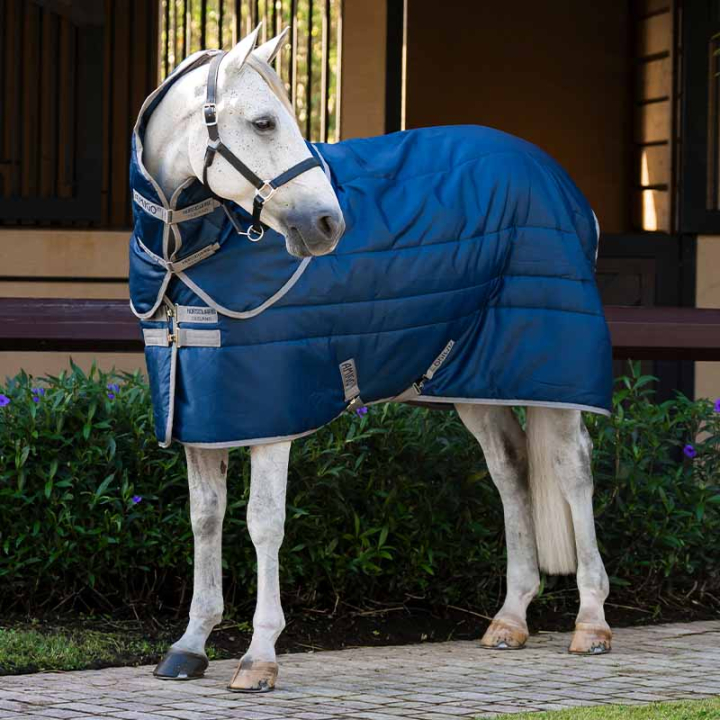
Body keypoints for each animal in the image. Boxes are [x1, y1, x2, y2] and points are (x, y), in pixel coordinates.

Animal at [131, 26, 613, 693]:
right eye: (262, 122)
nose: (327, 224)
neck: (189, 257)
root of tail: (560, 182)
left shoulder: (271, 415)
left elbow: (262, 522)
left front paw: (259, 657)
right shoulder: (204, 413)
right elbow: (206, 517)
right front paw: (190, 645)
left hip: (552, 374)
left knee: (573, 470)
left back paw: (591, 623)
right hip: (473, 381)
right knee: (510, 468)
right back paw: (510, 619)